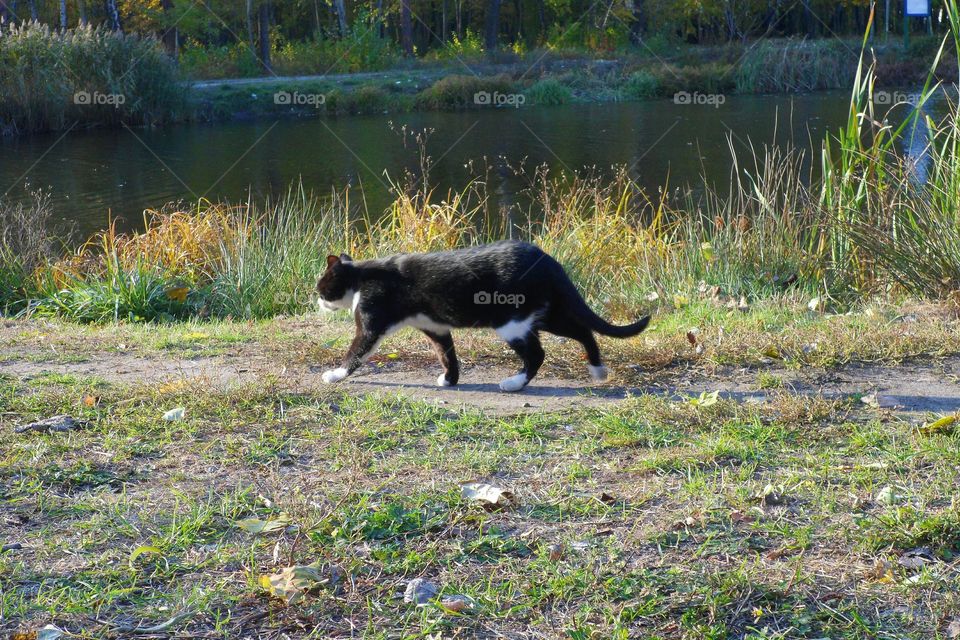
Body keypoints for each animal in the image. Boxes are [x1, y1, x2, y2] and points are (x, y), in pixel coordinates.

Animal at [316, 239, 652, 390]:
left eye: (321, 287)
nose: (317, 299)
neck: (362, 277)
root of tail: (548, 260)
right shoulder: (435, 327)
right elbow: (446, 353)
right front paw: (449, 379)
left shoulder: (371, 322)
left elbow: (355, 352)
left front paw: (335, 374)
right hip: (545, 313)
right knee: (583, 331)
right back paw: (597, 370)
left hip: (511, 321)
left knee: (537, 354)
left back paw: (514, 383)